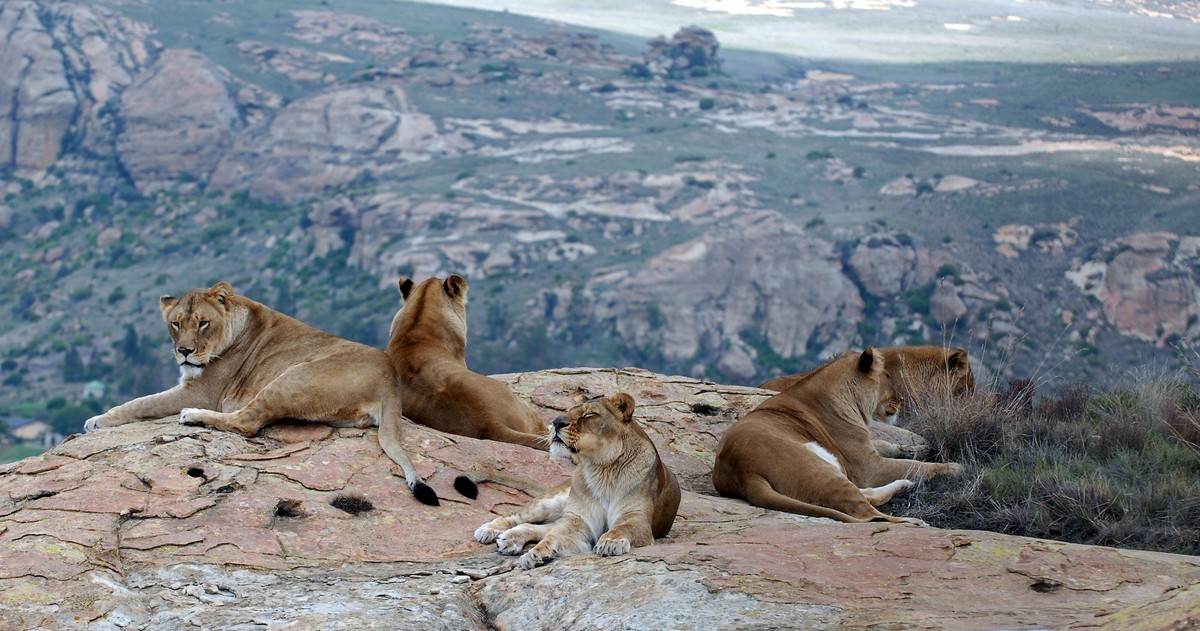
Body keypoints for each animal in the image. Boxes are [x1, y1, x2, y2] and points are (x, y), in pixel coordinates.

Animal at [83, 281, 453, 506]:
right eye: (176, 323)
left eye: (202, 323)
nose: (184, 352)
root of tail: (391, 382)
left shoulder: (200, 392)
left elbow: (139, 403)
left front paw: (97, 420)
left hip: (290, 377)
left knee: (247, 422)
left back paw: (193, 418)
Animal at [473, 393, 681, 569]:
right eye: (568, 411)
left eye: (589, 414)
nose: (556, 422)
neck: (600, 469)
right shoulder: (579, 520)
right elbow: (552, 537)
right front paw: (535, 554)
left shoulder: (637, 518)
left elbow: (621, 527)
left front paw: (611, 542)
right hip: (553, 502)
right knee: (518, 516)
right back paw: (489, 531)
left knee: (535, 526)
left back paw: (509, 540)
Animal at [714, 347, 962, 524]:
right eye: (887, 376)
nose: (900, 399)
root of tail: (744, 473)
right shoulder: (868, 468)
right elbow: (918, 466)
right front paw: (955, 468)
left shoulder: (867, 449)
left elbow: (887, 444)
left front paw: (917, 448)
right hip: (820, 469)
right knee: (867, 513)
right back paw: (913, 520)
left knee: (866, 497)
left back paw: (905, 486)